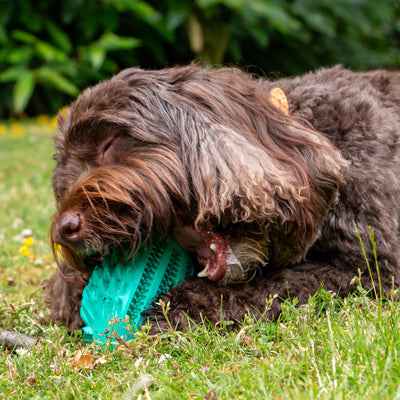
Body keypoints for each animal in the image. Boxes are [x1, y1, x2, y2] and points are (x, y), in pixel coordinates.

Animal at [48, 63, 400, 332]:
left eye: (109, 143)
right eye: (64, 180)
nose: (65, 229)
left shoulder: (371, 269)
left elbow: (284, 282)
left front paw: (181, 303)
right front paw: (74, 288)